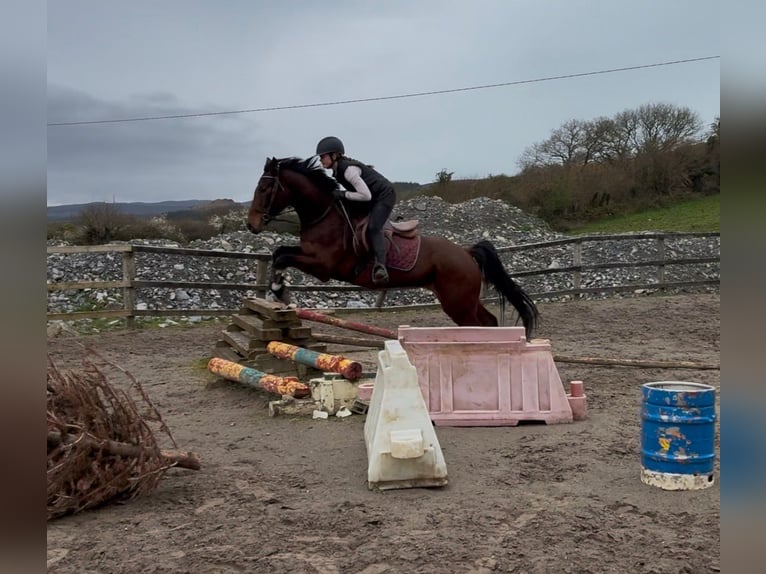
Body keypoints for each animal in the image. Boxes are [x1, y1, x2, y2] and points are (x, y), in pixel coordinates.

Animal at [246, 156, 540, 339]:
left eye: (265, 188)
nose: (251, 224)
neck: (324, 214)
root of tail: (466, 253)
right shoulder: (309, 256)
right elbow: (279, 253)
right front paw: (278, 290)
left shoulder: (322, 265)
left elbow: (282, 256)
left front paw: (279, 290)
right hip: (464, 299)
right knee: (489, 323)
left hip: (457, 303)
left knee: (477, 327)